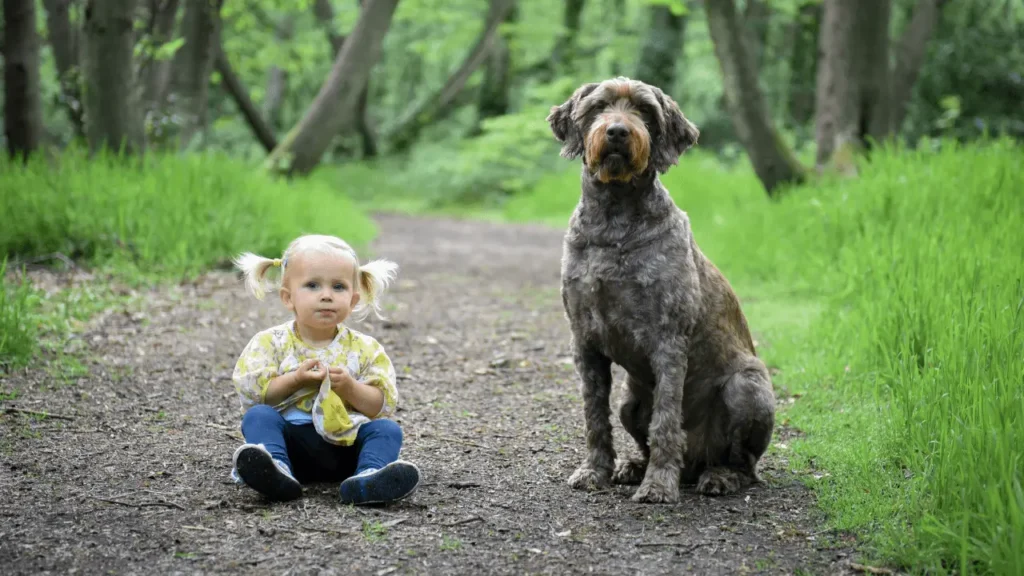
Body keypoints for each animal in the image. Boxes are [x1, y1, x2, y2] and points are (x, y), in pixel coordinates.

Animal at [544, 78, 774, 500]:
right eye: (598, 107)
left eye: (645, 111)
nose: (618, 131)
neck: (613, 219)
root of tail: (696, 461)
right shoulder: (584, 341)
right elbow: (594, 417)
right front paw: (595, 471)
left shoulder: (668, 340)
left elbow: (666, 420)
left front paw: (658, 485)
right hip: (630, 400)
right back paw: (635, 466)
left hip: (747, 387)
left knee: (744, 463)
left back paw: (718, 476)